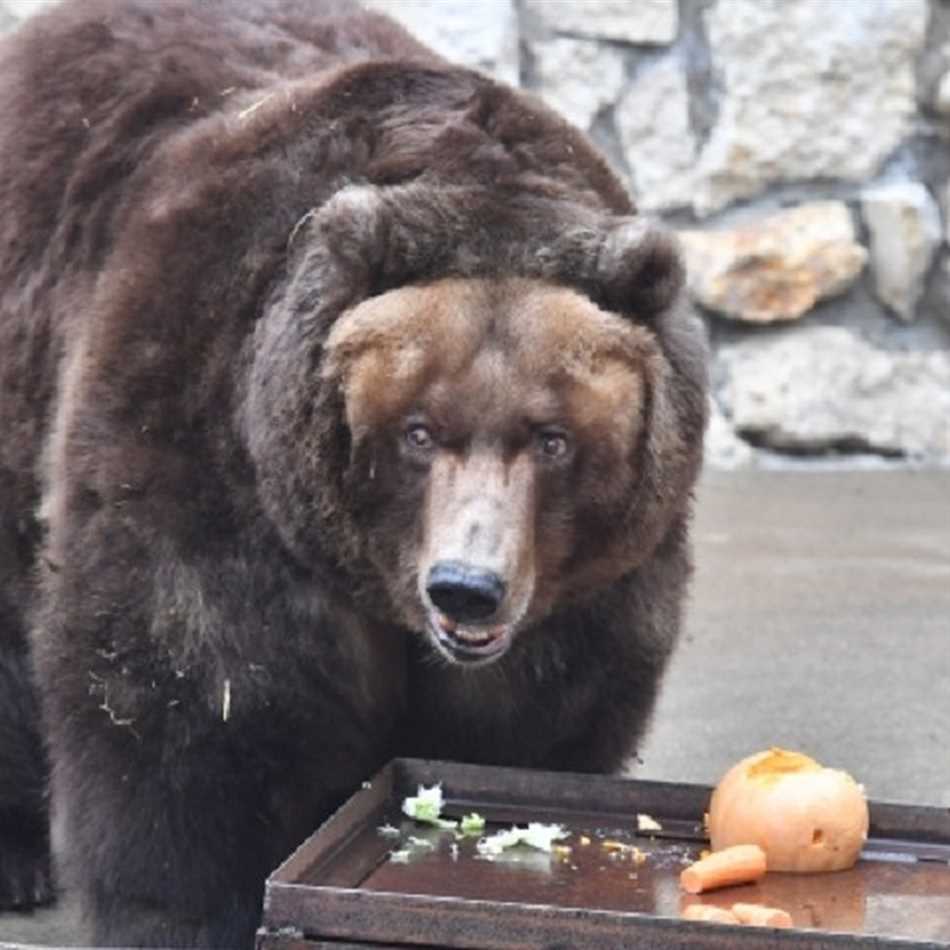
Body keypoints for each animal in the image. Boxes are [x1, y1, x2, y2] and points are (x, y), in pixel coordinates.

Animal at [0, 0, 708, 948]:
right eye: (419, 430)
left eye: (552, 437)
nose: (466, 588)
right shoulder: (208, 438)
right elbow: (188, 703)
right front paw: (186, 910)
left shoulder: (588, 588)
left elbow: (539, 724)